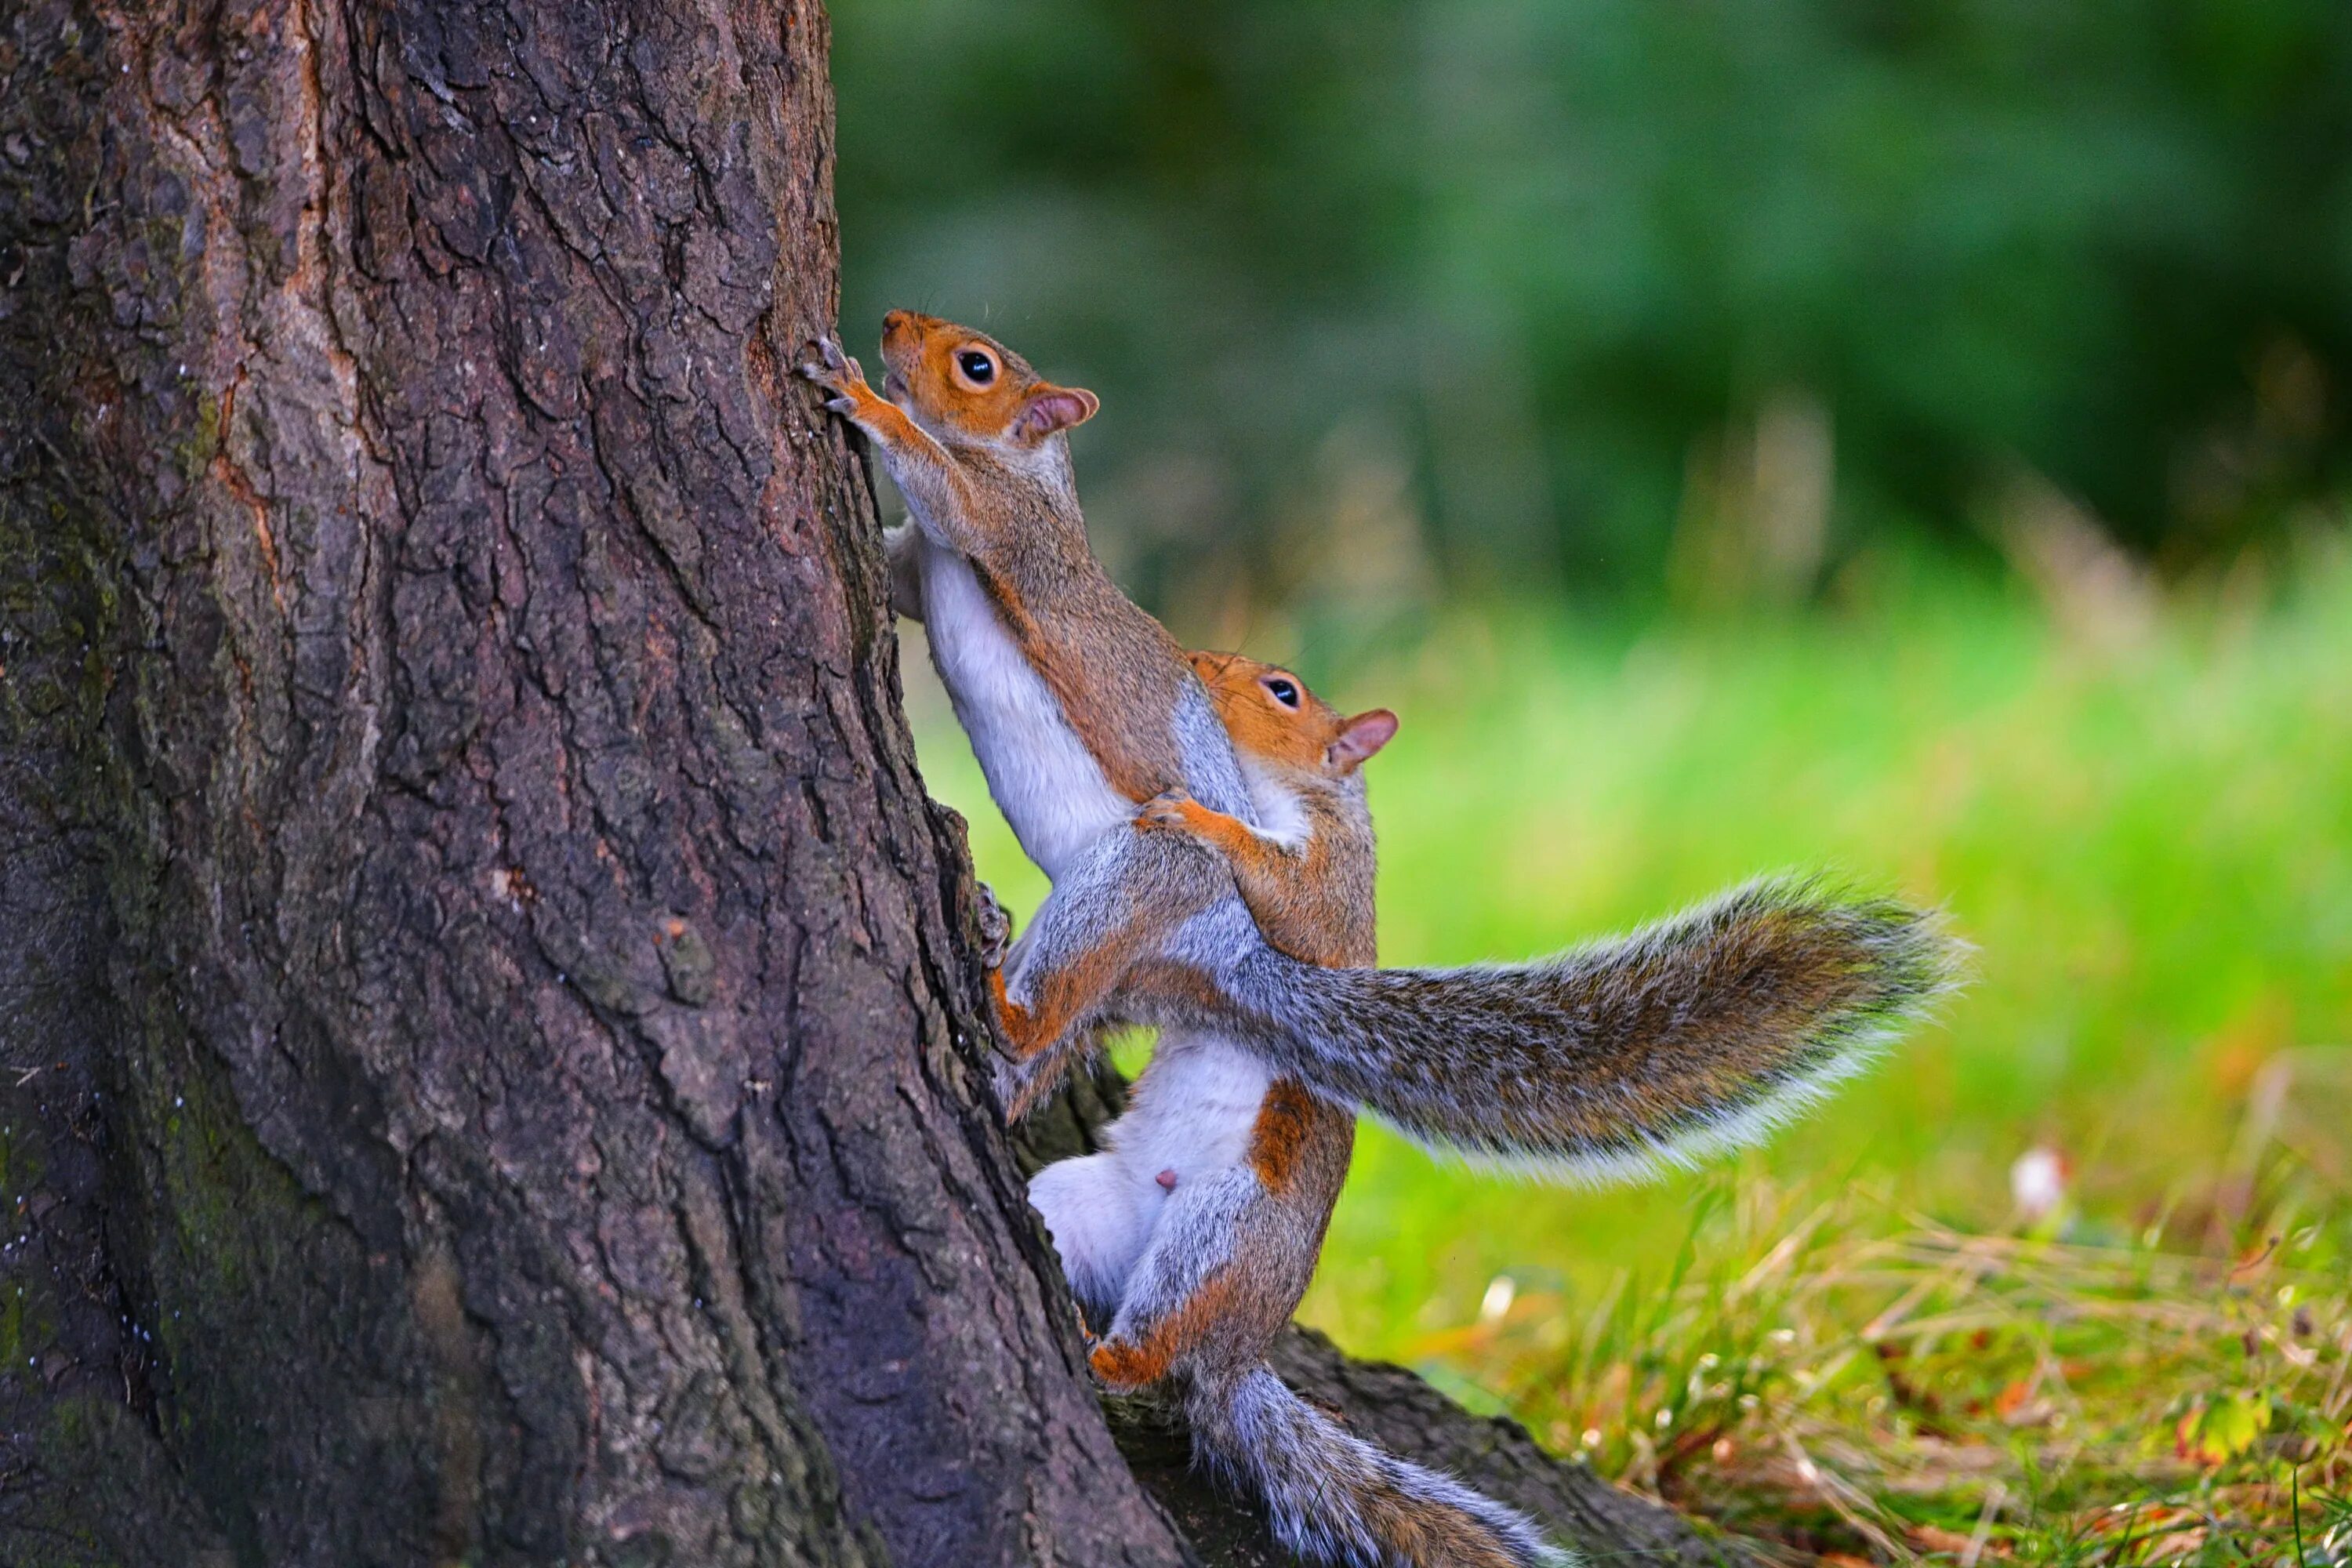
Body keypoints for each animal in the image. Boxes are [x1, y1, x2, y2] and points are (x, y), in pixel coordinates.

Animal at [800, 312, 1957, 1185]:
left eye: (977, 365)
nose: (893, 321)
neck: (1035, 473)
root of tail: (1238, 960)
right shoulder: (931, 568)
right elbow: (902, 576)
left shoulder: (1010, 536)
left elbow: (948, 490)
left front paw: (862, 397)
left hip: (1148, 873)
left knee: (1057, 1000)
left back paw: (1005, 1003)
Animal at [1030, 648, 1562, 1568]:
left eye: (1285, 692)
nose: (1200, 663)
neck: (1298, 790)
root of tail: (1239, 1351)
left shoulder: (1332, 887)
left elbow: (1283, 890)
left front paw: (1196, 814)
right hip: (1085, 1202)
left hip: (1222, 1233)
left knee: (1158, 1345)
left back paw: (1110, 1358)